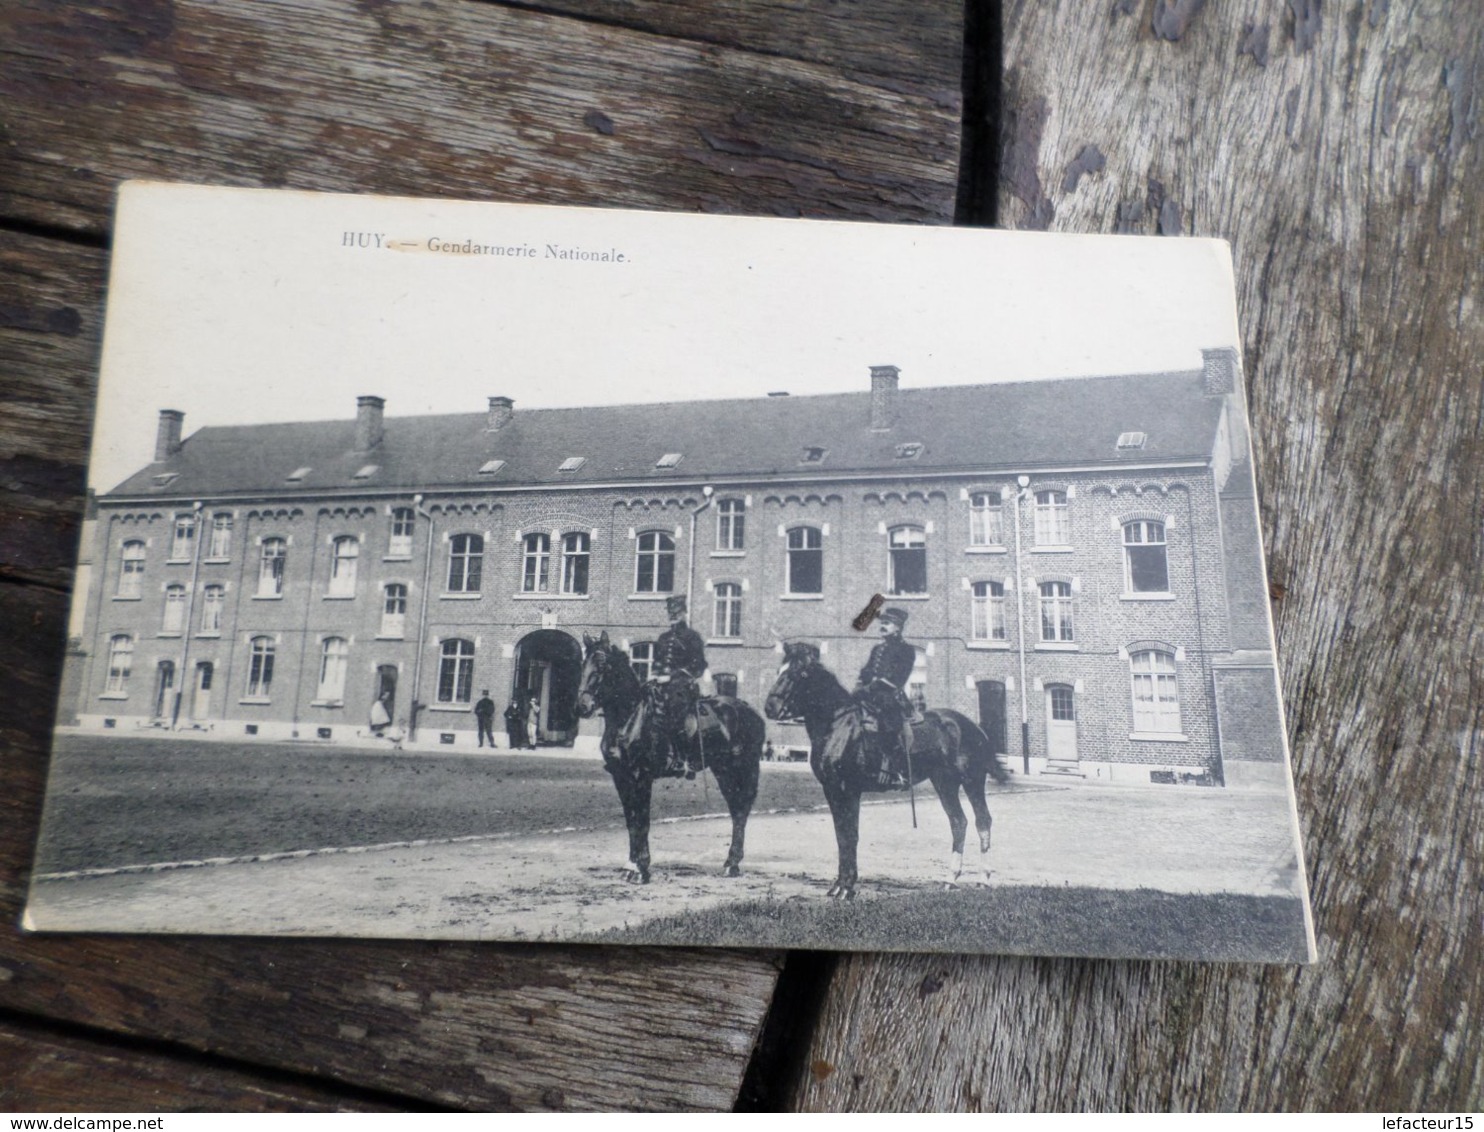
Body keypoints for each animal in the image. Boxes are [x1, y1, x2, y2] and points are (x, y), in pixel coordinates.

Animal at [575, 629, 771, 884]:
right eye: (583, 664)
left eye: (602, 664)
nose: (582, 707)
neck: (630, 717)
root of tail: (749, 711)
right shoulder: (621, 777)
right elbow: (631, 821)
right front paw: (631, 865)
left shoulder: (641, 776)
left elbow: (642, 821)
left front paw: (641, 869)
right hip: (723, 771)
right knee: (737, 810)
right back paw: (730, 864)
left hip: (741, 768)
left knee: (741, 811)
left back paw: (732, 864)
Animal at [765, 640, 1009, 896]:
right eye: (779, 670)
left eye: (799, 673)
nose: (770, 707)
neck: (839, 725)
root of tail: (973, 726)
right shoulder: (831, 790)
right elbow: (840, 835)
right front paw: (839, 885)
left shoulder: (849, 789)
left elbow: (850, 835)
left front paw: (847, 887)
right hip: (945, 783)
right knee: (958, 822)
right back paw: (950, 878)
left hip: (972, 780)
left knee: (982, 820)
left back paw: (984, 878)